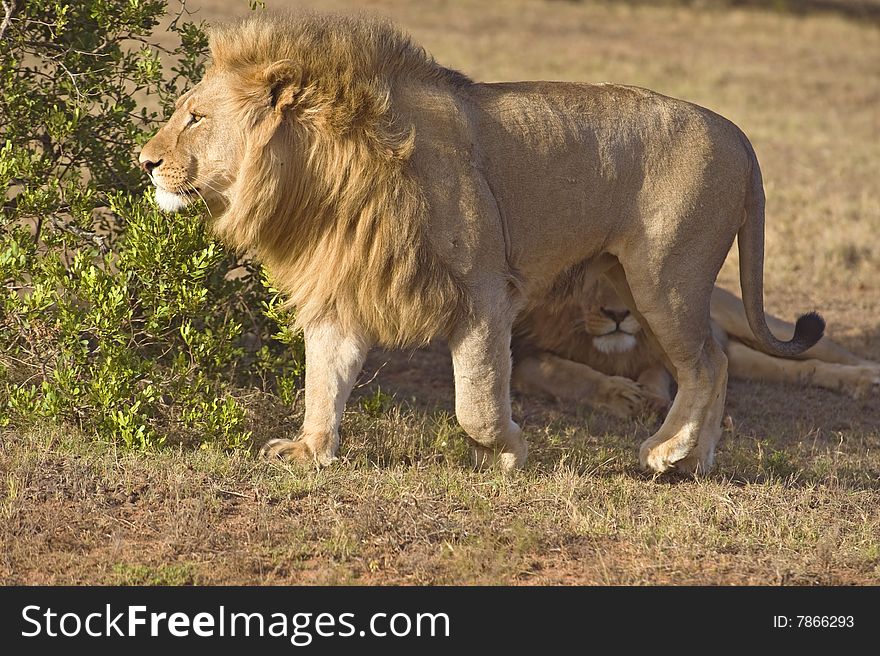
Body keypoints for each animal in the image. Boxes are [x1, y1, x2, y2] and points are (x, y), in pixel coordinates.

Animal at [138, 12, 824, 474]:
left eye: (195, 118)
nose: (145, 161)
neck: (323, 179)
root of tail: (739, 137)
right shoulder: (345, 286)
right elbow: (324, 379)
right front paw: (310, 449)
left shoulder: (485, 291)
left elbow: (478, 401)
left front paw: (511, 451)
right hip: (630, 278)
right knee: (718, 358)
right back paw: (698, 461)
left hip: (664, 277)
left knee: (705, 362)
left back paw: (666, 451)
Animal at [512, 276, 876, 418]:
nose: (618, 314)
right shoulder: (521, 357)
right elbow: (568, 373)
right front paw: (622, 395)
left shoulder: (656, 352)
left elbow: (653, 374)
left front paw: (654, 399)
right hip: (735, 354)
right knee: (796, 369)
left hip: (754, 324)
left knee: (828, 352)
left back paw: (868, 376)